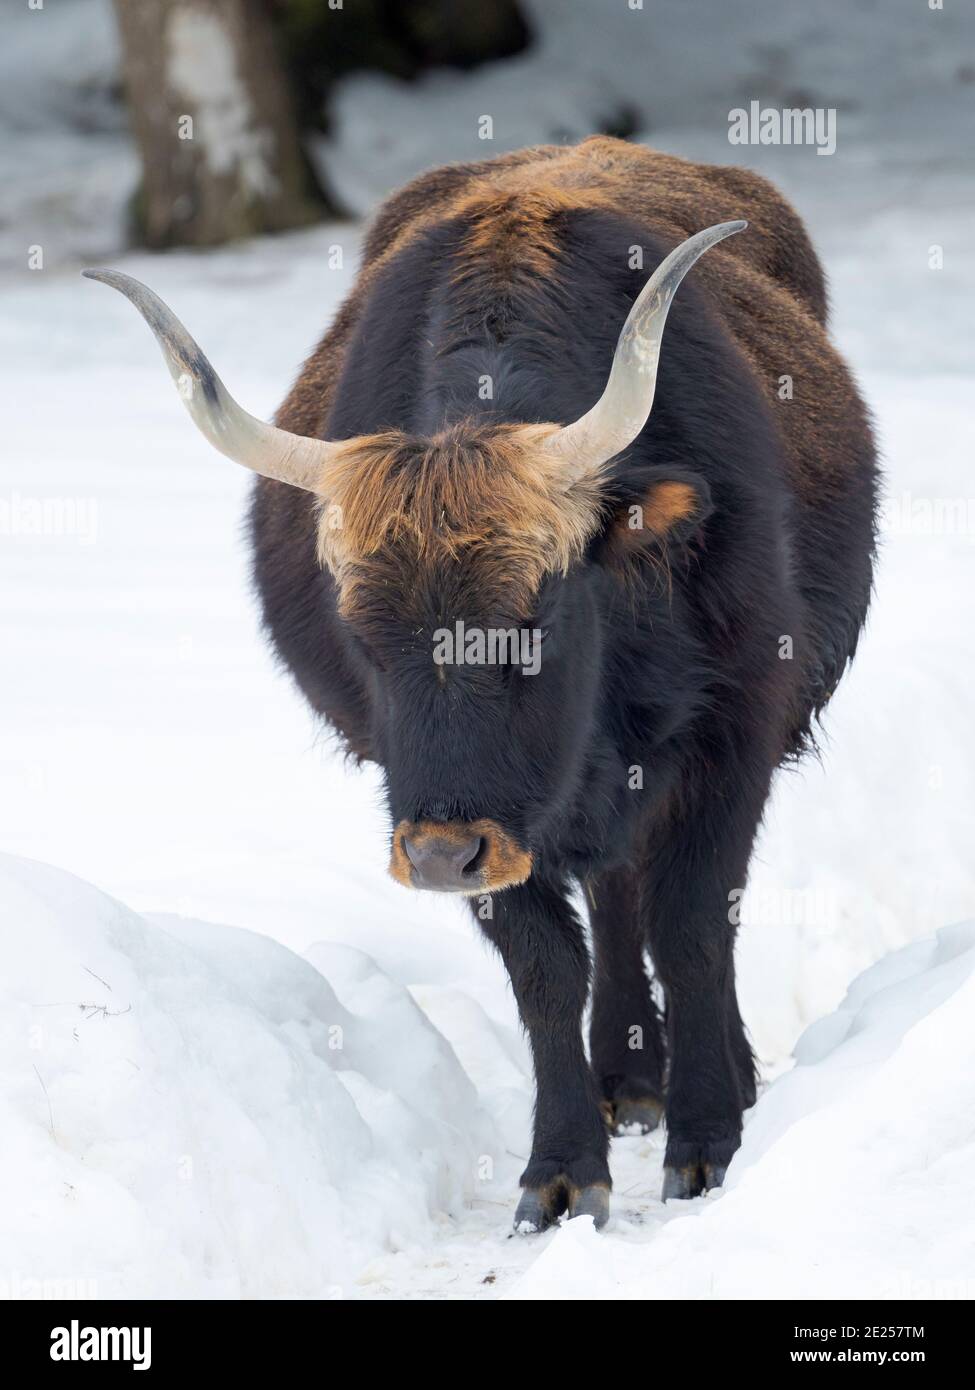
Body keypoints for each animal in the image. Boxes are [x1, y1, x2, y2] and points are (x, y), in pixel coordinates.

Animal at [85, 138, 873, 1228]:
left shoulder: (735, 734)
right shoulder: (455, 806)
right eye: (365, 634)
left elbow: (693, 926)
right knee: (610, 895)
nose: (443, 855)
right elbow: (546, 968)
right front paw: (562, 1169)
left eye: (529, 622)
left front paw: (710, 1141)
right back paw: (626, 1077)